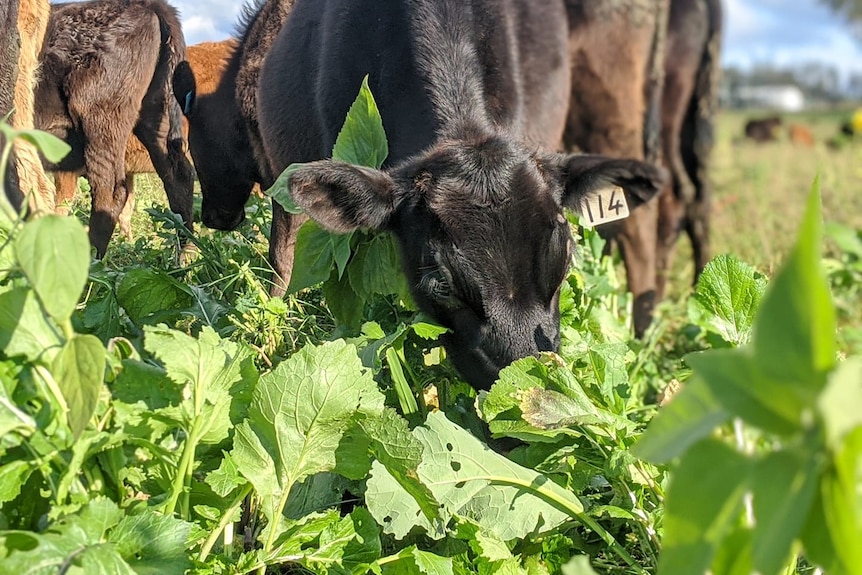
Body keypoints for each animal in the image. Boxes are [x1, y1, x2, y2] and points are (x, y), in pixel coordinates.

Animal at [34, 0, 193, 256]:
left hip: (99, 119)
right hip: (155, 118)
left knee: (110, 191)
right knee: (178, 175)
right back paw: (186, 256)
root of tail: (150, 6)